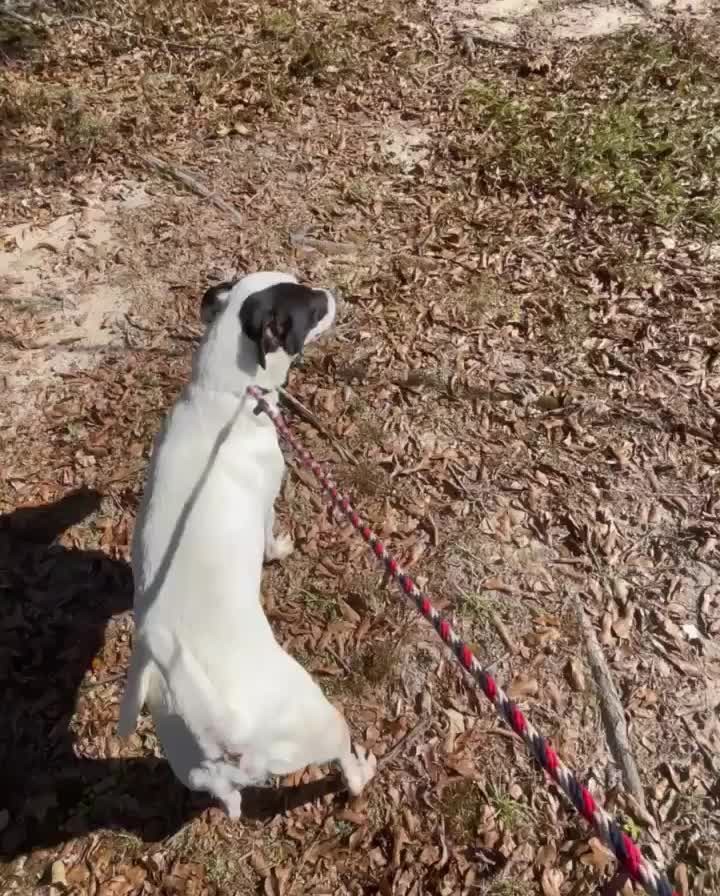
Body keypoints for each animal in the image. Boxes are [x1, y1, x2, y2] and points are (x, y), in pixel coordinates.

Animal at [118, 272, 376, 820]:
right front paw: (278, 549)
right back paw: (363, 770)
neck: (223, 392)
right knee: (345, 764)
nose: (332, 293)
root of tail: (223, 734)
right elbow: (268, 535)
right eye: (312, 306)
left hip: (191, 764)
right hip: (321, 719)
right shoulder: (268, 493)